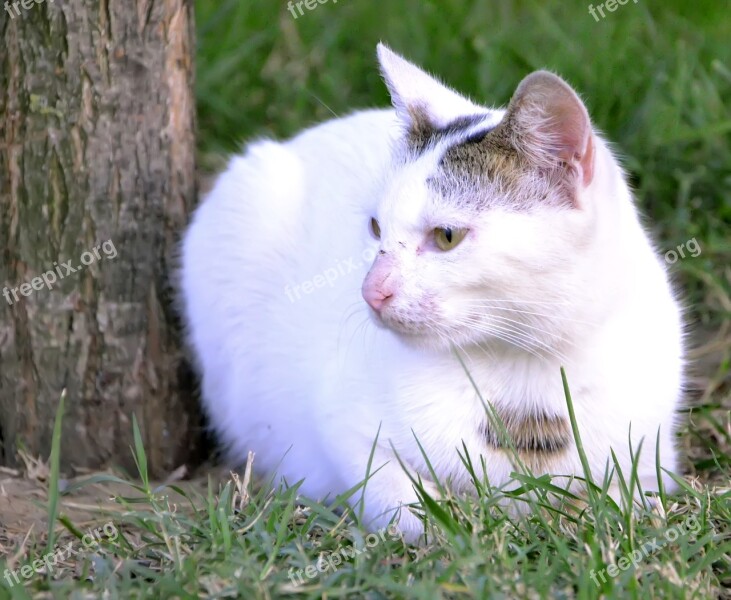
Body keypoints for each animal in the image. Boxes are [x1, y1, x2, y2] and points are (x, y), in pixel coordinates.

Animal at [182, 43, 688, 544]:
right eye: (375, 227)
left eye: (446, 237)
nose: (371, 290)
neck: (526, 372)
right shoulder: (344, 430)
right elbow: (405, 505)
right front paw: (458, 531)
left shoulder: (651, 458)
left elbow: (631, 501)